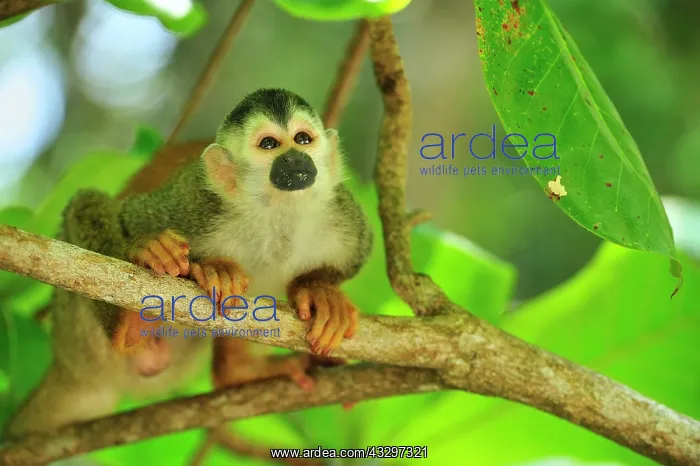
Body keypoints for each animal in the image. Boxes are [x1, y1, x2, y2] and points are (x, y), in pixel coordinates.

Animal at [3, 88, 373, 437]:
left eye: (303, 139)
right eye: (269, 144)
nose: (296, 157)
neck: (278, 213)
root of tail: (67, 367)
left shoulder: (342, 215)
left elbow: (359, 254)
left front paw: (319, 290)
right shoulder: (195, 205)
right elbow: (125, 213)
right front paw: (151, 249)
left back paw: (236, 372)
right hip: (77, 333)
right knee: (87, 202)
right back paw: (128, 321)